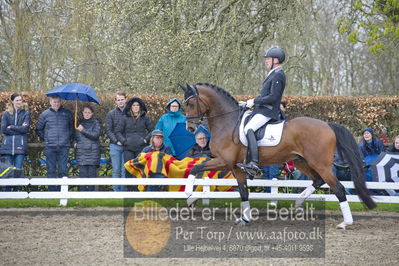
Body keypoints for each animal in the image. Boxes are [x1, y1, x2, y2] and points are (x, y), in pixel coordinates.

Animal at [181, 82, 378, 229]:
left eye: (191, 104)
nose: (189, 128)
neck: (227, 122)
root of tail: (328, 125)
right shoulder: (236, 167)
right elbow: (243, 191)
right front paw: (245, 219)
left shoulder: (224, 161)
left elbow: (196, 167)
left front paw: (189, 195)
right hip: (301, 161)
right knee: (318, 180)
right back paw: (298, 203)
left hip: (319, 163)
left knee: (338, 188)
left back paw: (345, 222)